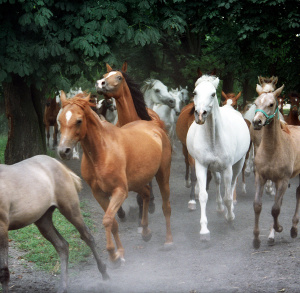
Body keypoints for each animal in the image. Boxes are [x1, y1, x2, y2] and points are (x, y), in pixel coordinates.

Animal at [0, 154, 108, 290]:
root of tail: (61, 165)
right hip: (43, 221)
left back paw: (105, 274)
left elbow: (4, 272)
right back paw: (63, 286)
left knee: (87, 237)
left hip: (70, 209)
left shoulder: (2, 227)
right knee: (62, 245)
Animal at [57, 92, 173, 264]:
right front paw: (120, 253)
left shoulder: (119, 191)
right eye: (59, 120)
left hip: (162, 174)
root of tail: (156, 127)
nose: (63, 151)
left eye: (78, 121)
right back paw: (146, 231)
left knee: (166, 207)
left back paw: (168, 241)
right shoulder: (99, 194)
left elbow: (107, 220)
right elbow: (113, 223)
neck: (101, 152)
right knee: (146, 193)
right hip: (135, 182)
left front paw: (113, 255)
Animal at [186, 74, 250, 240]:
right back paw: (220, 208)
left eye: (213, 94)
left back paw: (230, 211)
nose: (200, 114)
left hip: (238, 164)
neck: (213, 137)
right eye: (195, 92)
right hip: (214, 168)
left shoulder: (227, 168)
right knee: (217, 182)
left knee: (232, 185)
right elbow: (203, 195)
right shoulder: (202, 166)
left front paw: (230, 218)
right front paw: (204, 231)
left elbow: (228, 196)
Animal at [251, 83, 300, 248]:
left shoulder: (283, 181)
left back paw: (293, 228)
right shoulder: (261, 177)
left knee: (298, 193)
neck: (272, 150)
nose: (257, 122)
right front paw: (257, 239)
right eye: (256, 103)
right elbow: (258, 206)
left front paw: (279, 228)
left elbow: (275, 209)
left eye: (271, 104)